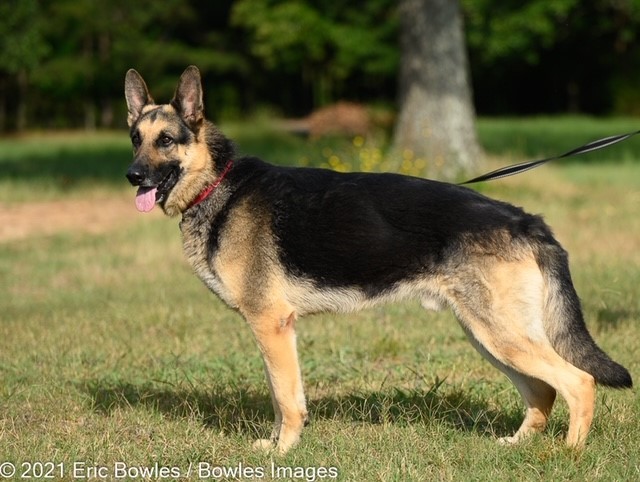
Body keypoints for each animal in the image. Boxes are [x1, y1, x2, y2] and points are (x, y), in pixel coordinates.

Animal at [124, 66, 632, 454]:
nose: (132, 175)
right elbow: (281, 394)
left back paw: (568, 454)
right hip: (487, 336)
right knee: (543, 389)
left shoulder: (271, 325)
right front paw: (280, 443)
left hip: (501, 335)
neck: (218, 184)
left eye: (166, 140)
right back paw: (517, 446)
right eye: (135, 139)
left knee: (578, 382)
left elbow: (285, 398)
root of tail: (527, 220)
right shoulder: (274, 331)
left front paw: (282, 451)